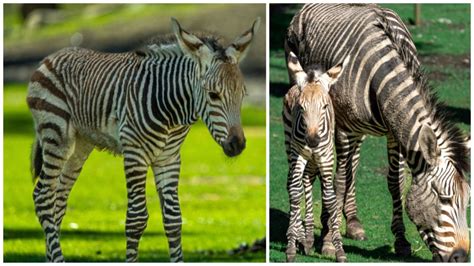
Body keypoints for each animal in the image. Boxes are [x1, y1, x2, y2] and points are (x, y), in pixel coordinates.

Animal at [27, 17, 262, 262]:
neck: (171, 110)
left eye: (242, 95)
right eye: (213, 95)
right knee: (43, 196)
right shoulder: (135, 154)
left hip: (80, 145)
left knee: (58, 200)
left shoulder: (168, 159)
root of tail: (51, 57)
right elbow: (136, 219)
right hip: (56, 133)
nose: (237, 145)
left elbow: (174, 220)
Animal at [284, 51, 350, 262]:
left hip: (315, 161)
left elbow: (329, 198)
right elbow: (294, 191)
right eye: (300, 107)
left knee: (308, 181)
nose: (312, 140)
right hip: (291, 149)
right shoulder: (298, 154)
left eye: (325, 106)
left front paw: (339, 250)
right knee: (294, 184)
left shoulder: (326, 159)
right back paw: (301, 237)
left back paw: (308, 239)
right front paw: (291, 247)